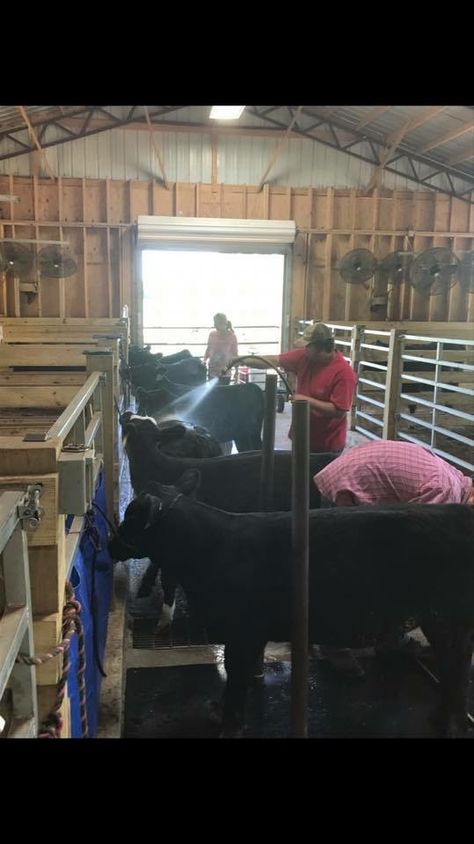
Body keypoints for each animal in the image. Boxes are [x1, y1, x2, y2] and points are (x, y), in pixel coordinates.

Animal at [110, 474, 474, 740]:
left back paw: (447, 722)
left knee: (455, 670)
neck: (210, 550)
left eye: (132, 515)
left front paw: (228, 724)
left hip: (449, 618)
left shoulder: (243, 631)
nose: (112, 543)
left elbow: (237, 679)